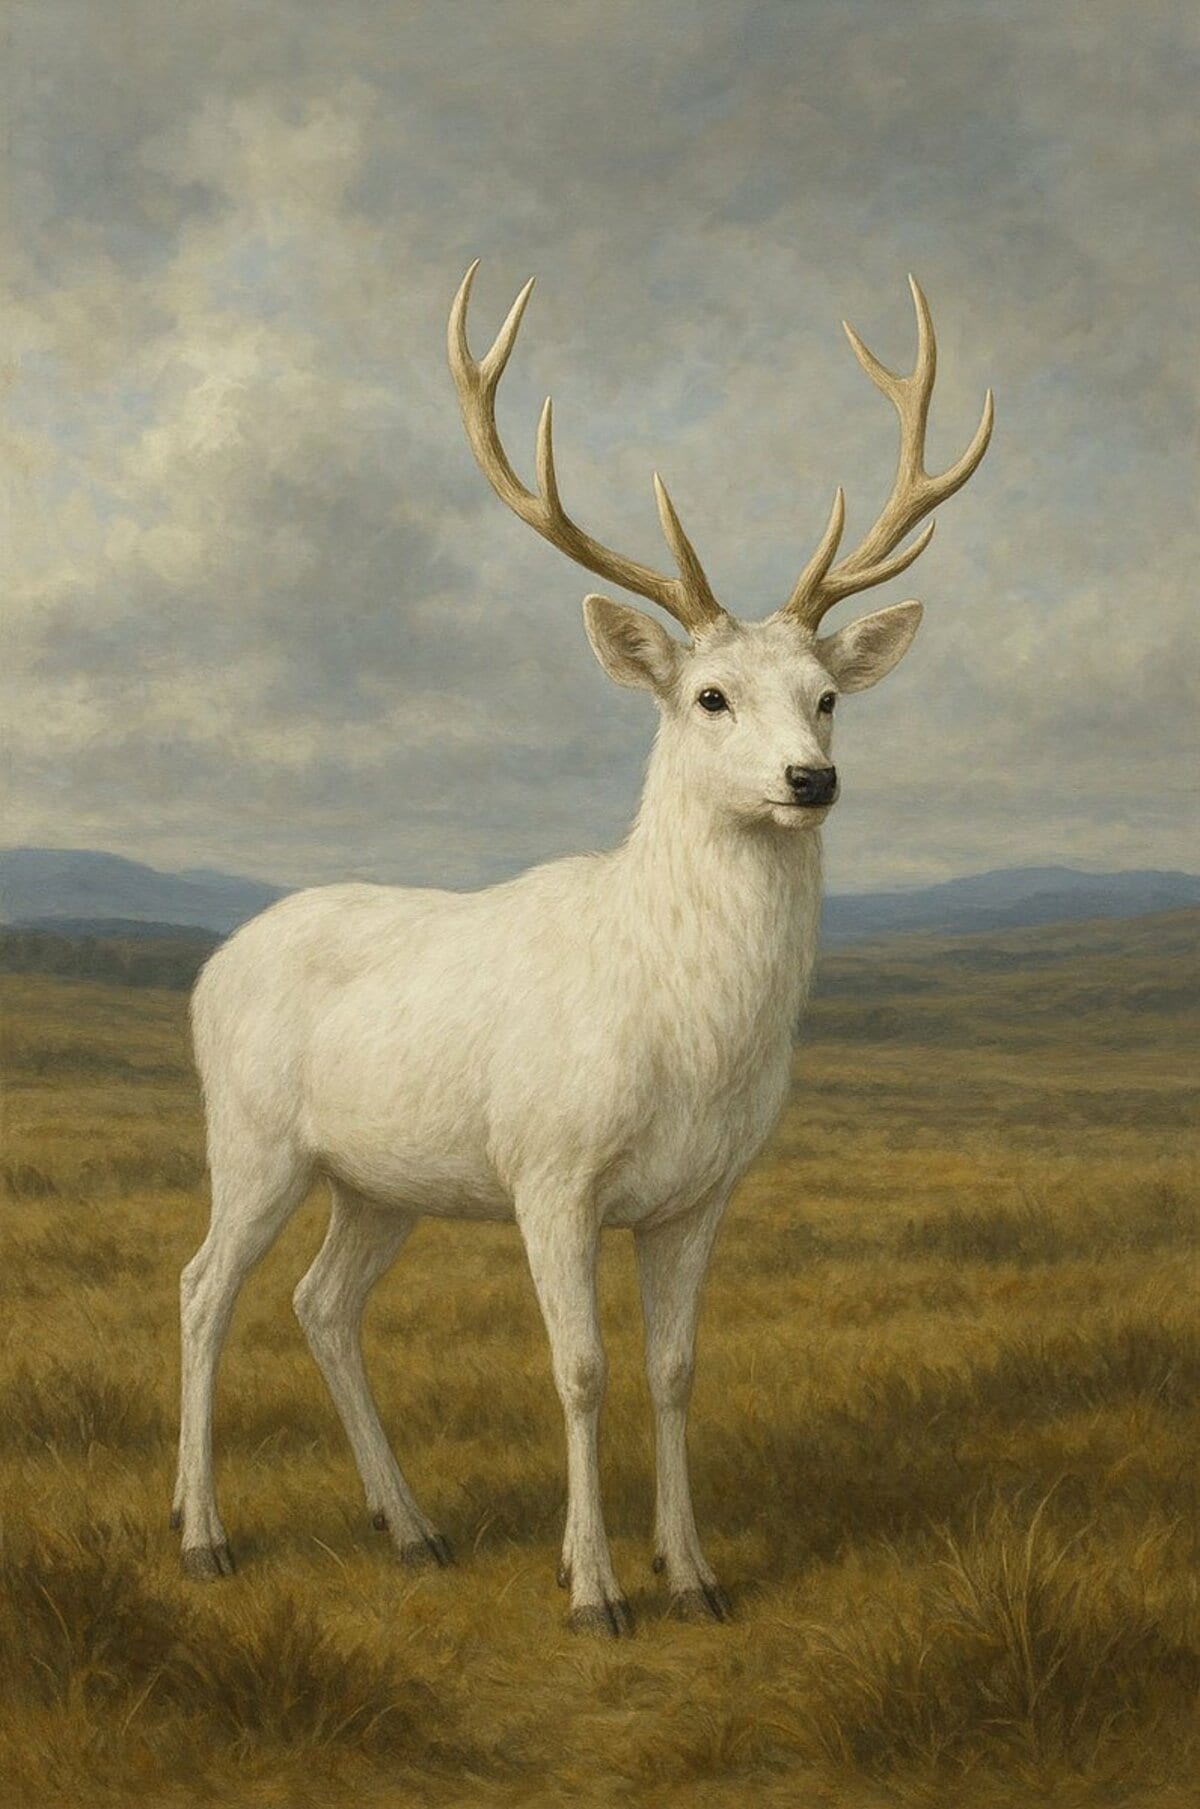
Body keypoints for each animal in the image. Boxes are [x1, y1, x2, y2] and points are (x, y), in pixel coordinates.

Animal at [173, 261, 992, 1635]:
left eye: (828, 696)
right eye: (710, 697)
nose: (811, 780)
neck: (685, 1034)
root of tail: (212, 965)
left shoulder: (702, 1192)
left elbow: (673, 1369)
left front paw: (694, 1575)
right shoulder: (550, 1171)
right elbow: (579, 1369)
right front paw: (593, 1591)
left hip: (378, 1181)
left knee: (320, 1304)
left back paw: (410, 1528)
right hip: (256, 1138)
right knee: (202, 1292)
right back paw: (202, 1538)